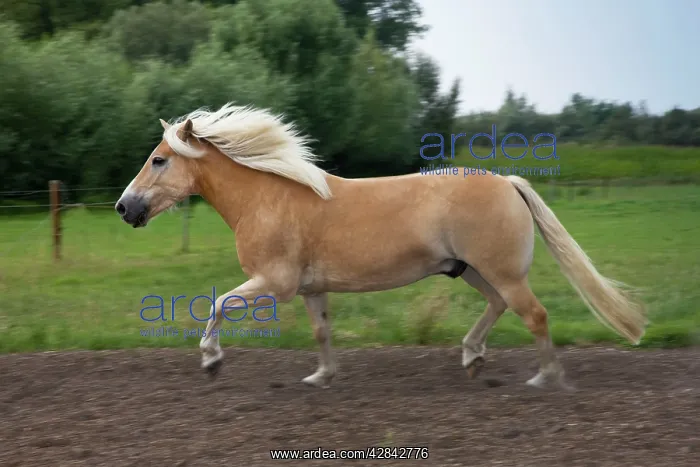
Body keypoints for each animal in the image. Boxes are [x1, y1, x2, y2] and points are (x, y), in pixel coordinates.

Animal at [115, 103, 647, 389]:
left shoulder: (275, 283)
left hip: (502, 272)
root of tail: (509, 182)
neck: (265, 199)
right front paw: (321, 377)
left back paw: (544, 378)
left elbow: (219, 304)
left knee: (534, 315)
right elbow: (322, 332)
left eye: (159, 160)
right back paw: (472, 358)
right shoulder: (311, 289)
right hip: (472, 269)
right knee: (498, 307)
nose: (124, 207)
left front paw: (211, 361)